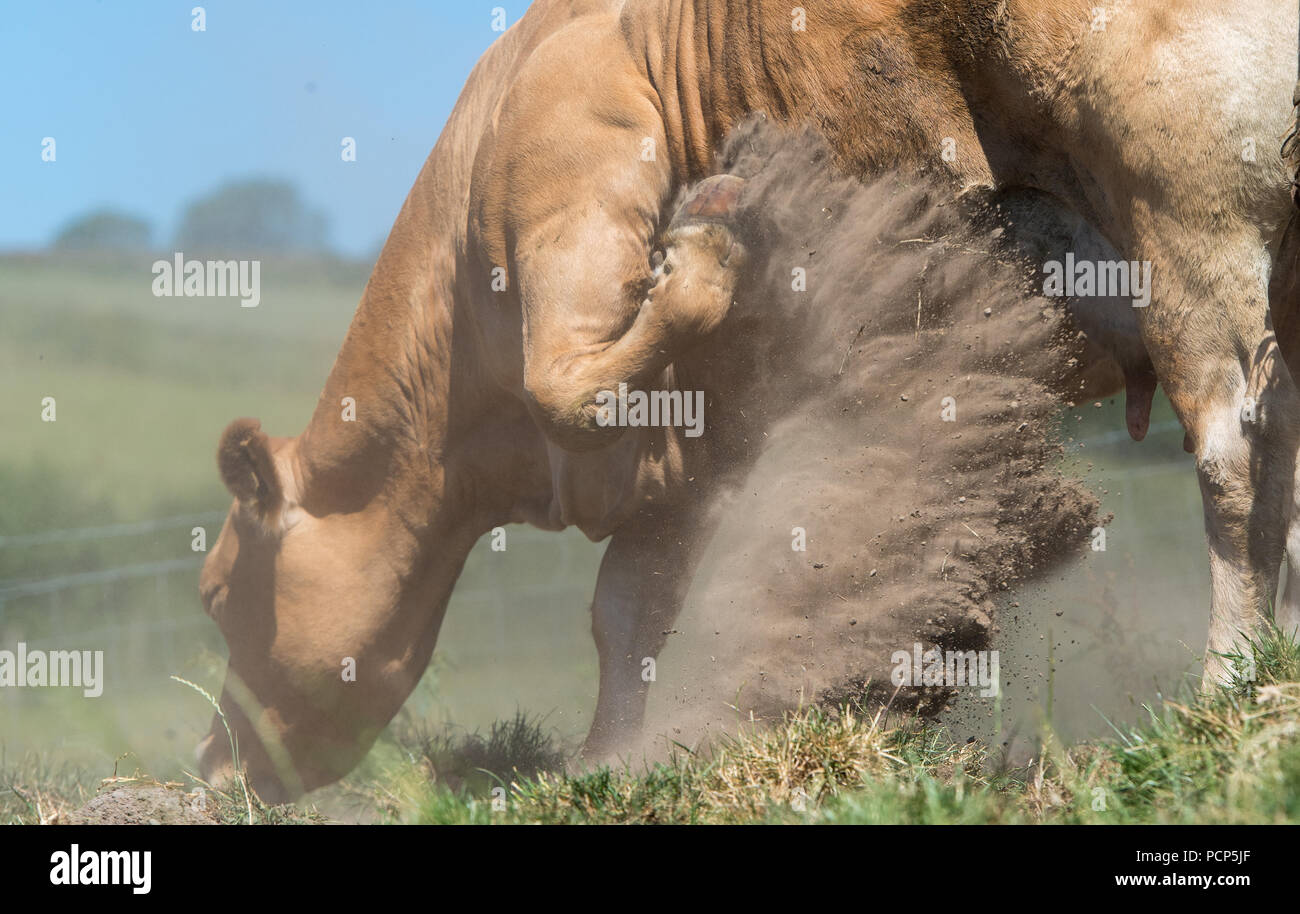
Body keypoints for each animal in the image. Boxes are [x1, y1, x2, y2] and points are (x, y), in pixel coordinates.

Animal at [197, 0, 1300, 800]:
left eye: (212, 595)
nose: (210, 763)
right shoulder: (696, 446)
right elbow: (627, 609)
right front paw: (610, 759)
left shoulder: (571, 218)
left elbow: (572, 390)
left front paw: (712, 240)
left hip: (1185, 219)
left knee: (1236, 459)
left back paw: (1223, 688)